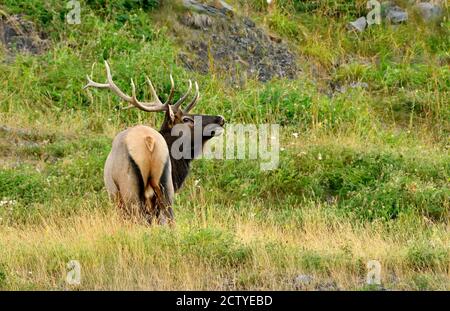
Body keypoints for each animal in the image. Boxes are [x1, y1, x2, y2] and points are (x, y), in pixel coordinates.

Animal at [82, 61, 225, 224]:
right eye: (187, 119)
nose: (220, 119)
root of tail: (148, 140)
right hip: (163, 186)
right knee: (169, 218)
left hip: (129, 188)